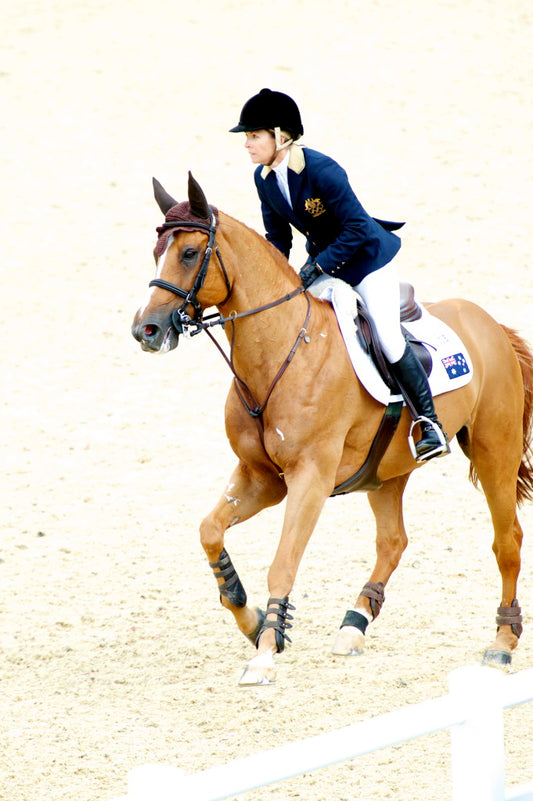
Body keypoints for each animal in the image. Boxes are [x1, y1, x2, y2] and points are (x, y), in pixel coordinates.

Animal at [130, 172, 532, 684]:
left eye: (187, 253)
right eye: (156, 251)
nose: (146, 330)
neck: (282, 350)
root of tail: (492, 325)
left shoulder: (311, 479)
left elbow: (282, 563)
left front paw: (264, 651)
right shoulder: (261, 477)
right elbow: (209, 531)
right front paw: (252, 620)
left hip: (493, 449)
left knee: (507, 540)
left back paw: (502, 642)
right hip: (387, 470)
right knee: (393, 542)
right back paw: (354, 623)